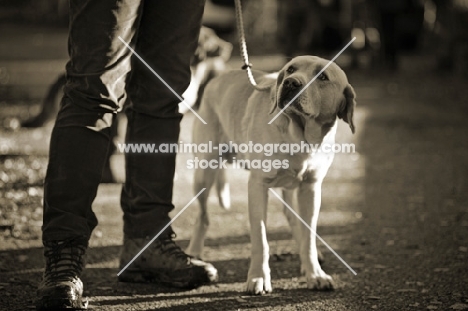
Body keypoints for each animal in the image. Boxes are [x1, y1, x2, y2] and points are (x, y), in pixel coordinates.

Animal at [185, 55, 356, 294]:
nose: (291, 83)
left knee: (292, 216)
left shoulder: (311, 188)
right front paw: (258, 277)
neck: (299, 138)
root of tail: (217, 78)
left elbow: (309, 236)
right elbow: (261, 239)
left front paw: (314, 273)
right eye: (290, 69)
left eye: (322, 76)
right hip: (205, 170)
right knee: (203, 216)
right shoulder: (258, 186)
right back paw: (195, 252)